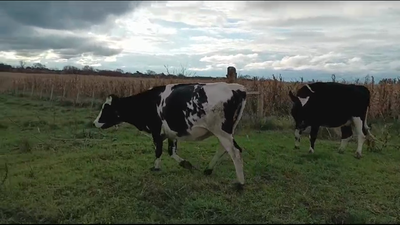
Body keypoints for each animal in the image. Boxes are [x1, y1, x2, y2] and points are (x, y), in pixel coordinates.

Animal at [93, 82, 247, 188]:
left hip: (222, 131)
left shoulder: (156, 131)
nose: (95, 123)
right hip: (225, 132)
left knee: (235, 152)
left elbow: (159, 151)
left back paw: (240, 183)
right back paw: (208, 170)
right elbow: (171, 151)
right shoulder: (172, 134)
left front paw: (156, 168)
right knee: (224, 149)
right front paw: (186, 164)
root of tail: (236, 88)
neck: (147, 102)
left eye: (106, 108)